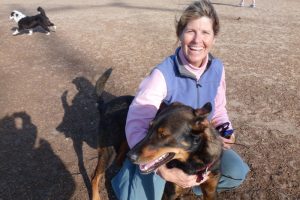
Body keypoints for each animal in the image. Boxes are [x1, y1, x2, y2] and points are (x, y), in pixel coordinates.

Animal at [91, 68, 223, 199]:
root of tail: (105, 105)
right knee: (95, 177)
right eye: (149, 128)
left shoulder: (210, 190)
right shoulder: (170, 191)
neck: (195, 159)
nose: (131, 157)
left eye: (163, 135)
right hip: (108, 150)